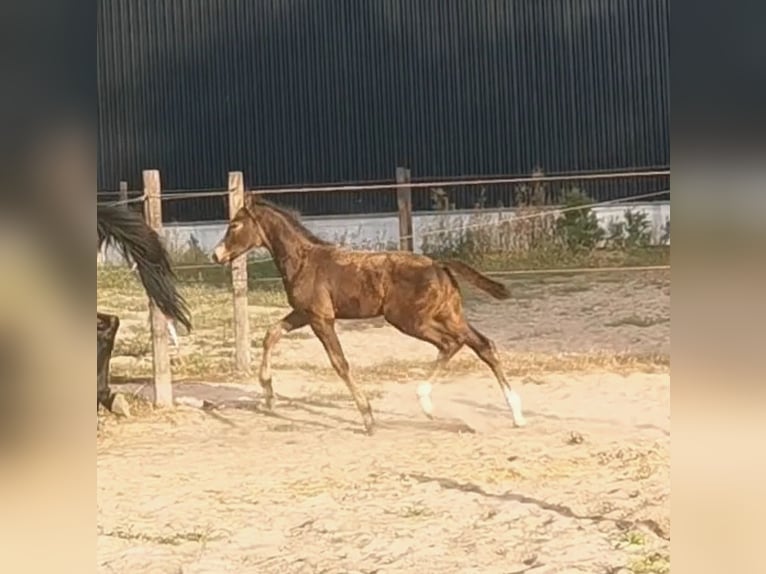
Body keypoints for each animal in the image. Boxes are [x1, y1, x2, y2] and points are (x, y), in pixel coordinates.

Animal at [212, 196, 528, 434]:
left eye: (234, 224)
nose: (216, 255)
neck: (304, 261)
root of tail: (439, 265)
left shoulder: (320, 318)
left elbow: (340, 363)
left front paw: (367, 417)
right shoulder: (304, 313)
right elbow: (271, 334)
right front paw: (267, 393)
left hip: (410, 320)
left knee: (453, 343)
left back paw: (427, 403)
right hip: (448, 315)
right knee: (483, 345)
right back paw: (515, 414)